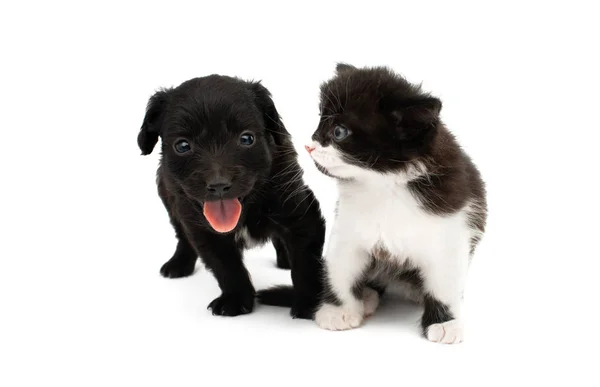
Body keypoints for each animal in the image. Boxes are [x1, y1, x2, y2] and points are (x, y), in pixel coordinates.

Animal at [137, 75, 324, 318]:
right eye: (183, 145)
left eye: (246, 139)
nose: (218, 185)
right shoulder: (204, 230)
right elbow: (226, 266)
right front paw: (235, 299)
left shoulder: (300, 213)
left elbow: (305, 262)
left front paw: (310, 304)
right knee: (182, 237)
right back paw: (178, 264)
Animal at [304, 64, 488, 346]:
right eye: (319, 121)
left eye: (339, 132)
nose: (309, 145)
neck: (383, 185)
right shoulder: (348, 228)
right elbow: (340, 267)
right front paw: (339, 310)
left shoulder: (453, 228)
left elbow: (444, 282)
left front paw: (445, 323)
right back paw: (367, 295)